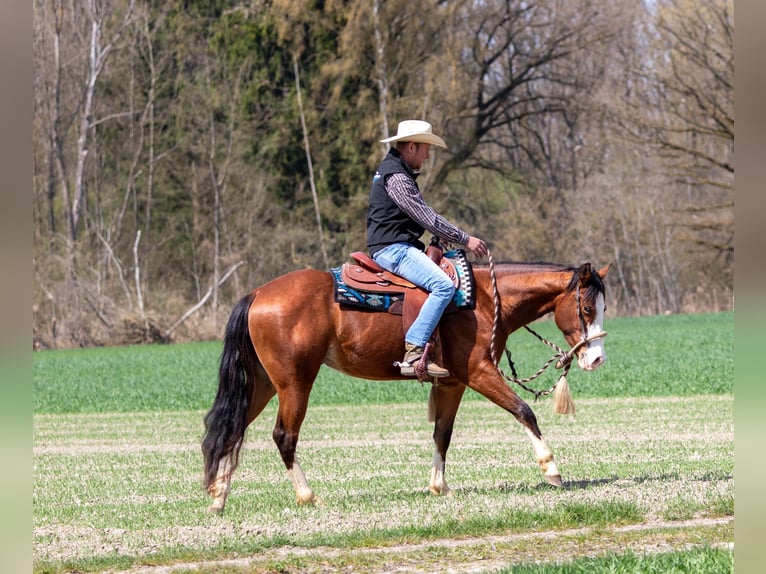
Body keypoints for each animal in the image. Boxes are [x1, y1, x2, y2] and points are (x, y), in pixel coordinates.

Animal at [201, 258, 610, 512]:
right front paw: (552, 469)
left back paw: (219, 496)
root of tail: (257, 294)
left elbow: (442, 433)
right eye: (587, 309)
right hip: (295, 382)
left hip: (262, 383)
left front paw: (439, 486)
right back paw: (308, 496)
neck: (484, 302)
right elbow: (524, 411)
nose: (597, 359)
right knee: (284, 436)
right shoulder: (479, 373)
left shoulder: (452, 384)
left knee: (232, 429)